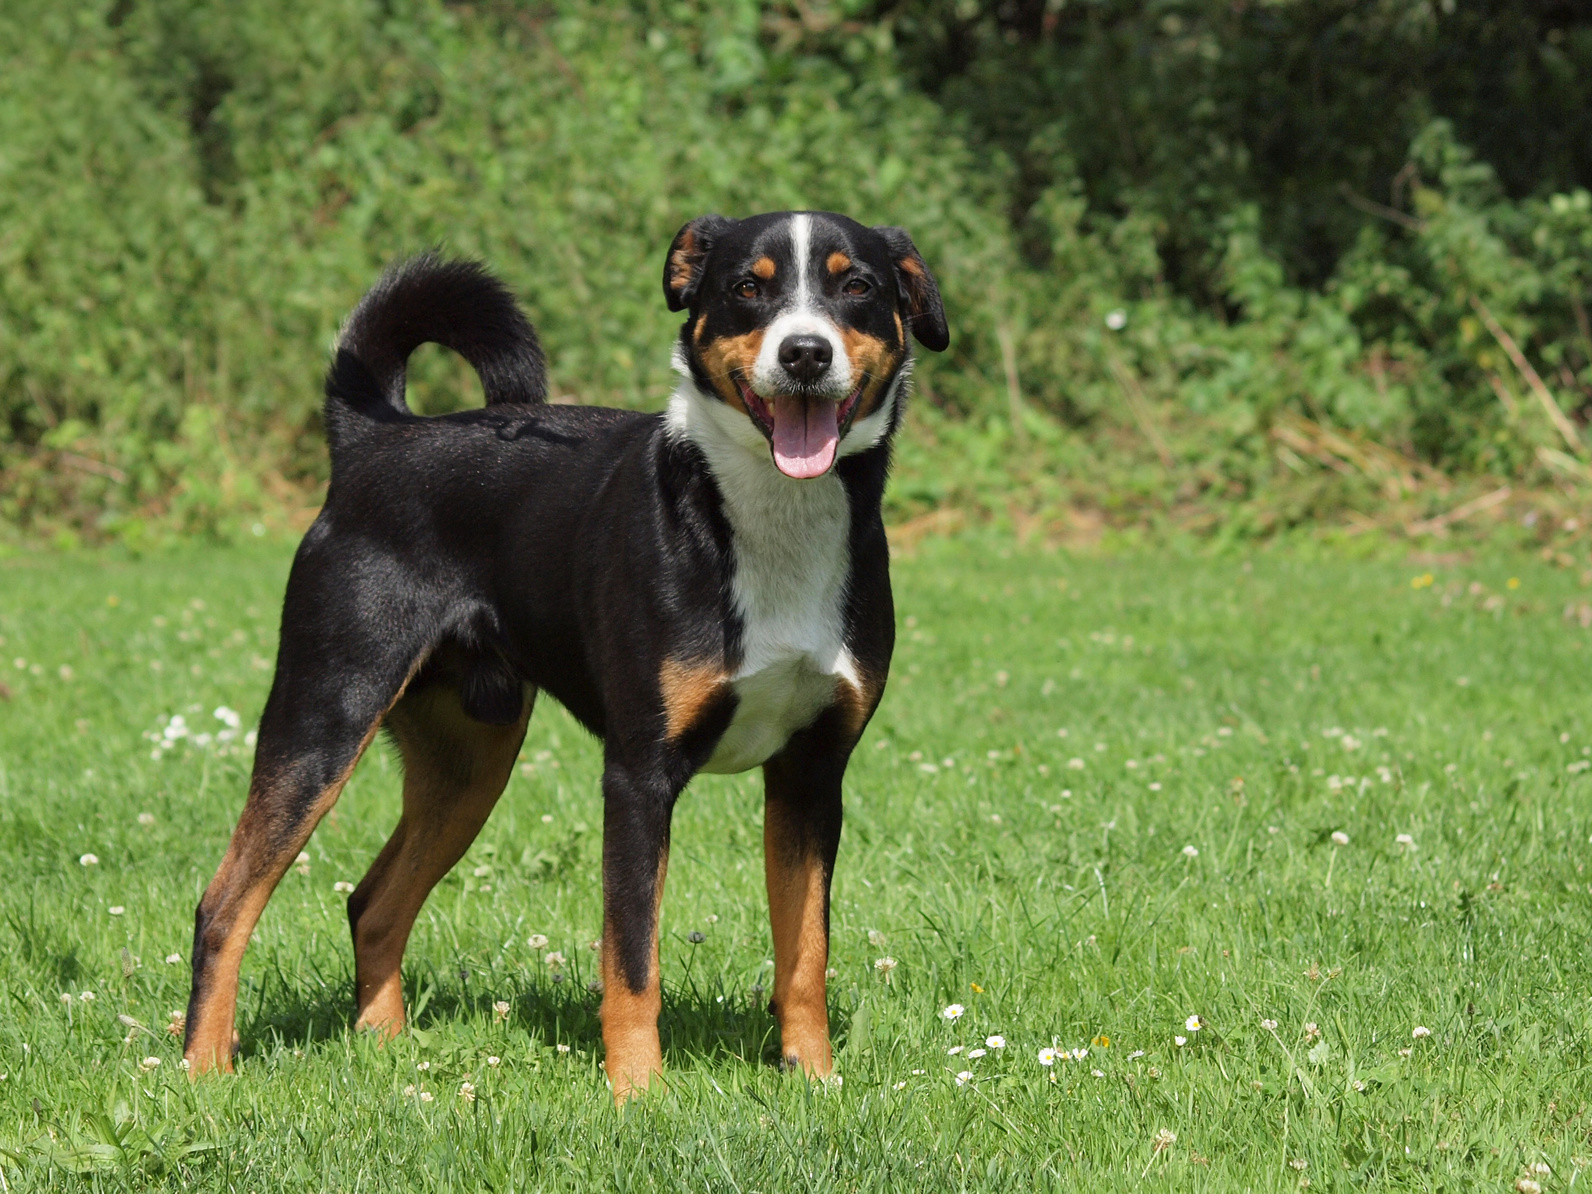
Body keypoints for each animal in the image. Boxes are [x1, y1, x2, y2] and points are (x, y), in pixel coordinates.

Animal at [183, 213, 955, 1101]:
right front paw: (639, 1095)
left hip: (467, 764)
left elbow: (805, 955)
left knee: (372, 904)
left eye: (855, 285)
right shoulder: (639, 776)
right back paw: (202, 1068)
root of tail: (378, 437)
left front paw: (813, 1078)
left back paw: (384, 1051)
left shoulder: (812, 774)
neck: (772, 519)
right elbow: (632, 961)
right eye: (747, 287)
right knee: (225, 905)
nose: (804, 353)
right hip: (323, 718)